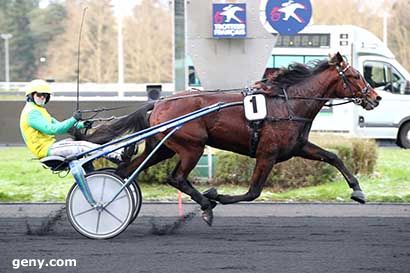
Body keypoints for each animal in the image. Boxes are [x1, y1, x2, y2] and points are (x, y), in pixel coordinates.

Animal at [76, 52, 382, 224]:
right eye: (356, 75)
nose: (375, 98)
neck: (288, 103)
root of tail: (159, 102)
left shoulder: (297, 147)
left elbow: (333, 156)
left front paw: (358, 190)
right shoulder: (267, 154)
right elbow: (253, 192)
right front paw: (216, 195)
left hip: (163, 147)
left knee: (126, 171)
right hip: (192, 146)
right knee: (176, 178)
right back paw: (205, 205)